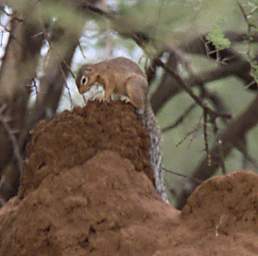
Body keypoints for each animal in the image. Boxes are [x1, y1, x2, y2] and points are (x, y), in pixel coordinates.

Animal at [75, 56, 167, 202]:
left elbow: (108, 89)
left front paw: (101, 97)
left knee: (140, 106)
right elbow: (108, 92)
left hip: (132, 85)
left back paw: (128, 100)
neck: (100, 69)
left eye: (83, 80)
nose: (80, 92)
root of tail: (146, 97)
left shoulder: (110, 77)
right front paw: (101, 97)